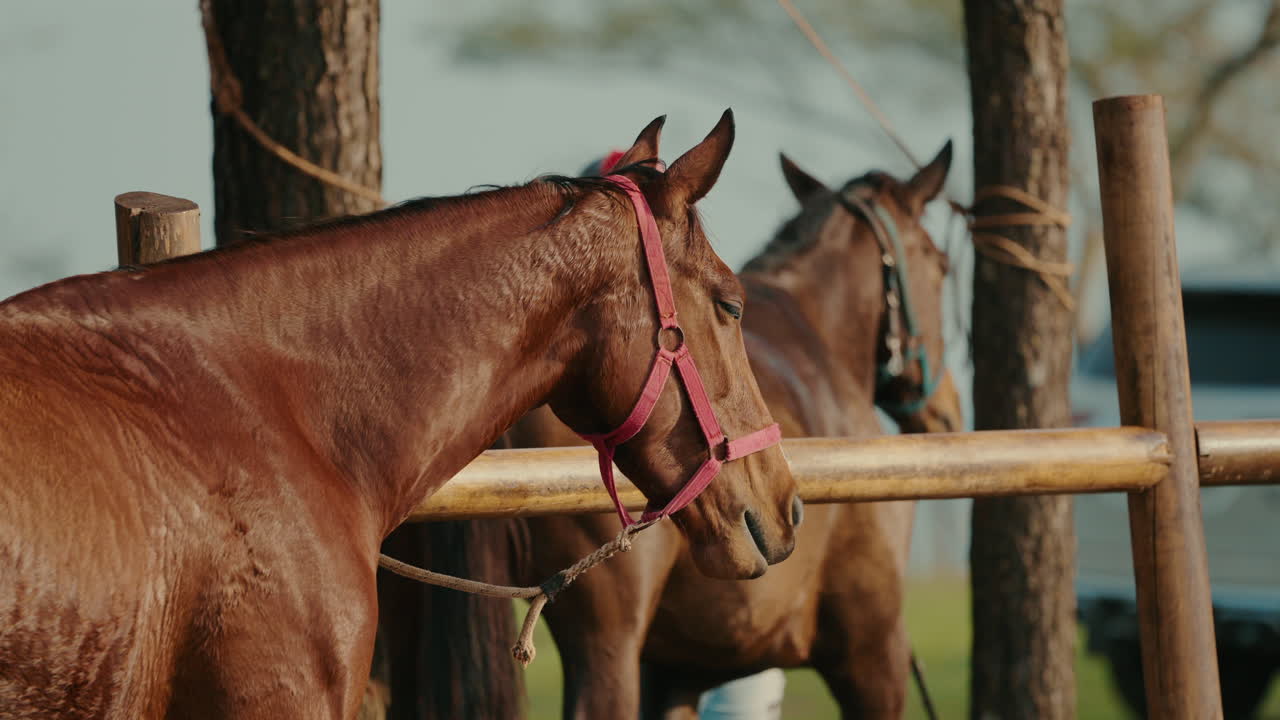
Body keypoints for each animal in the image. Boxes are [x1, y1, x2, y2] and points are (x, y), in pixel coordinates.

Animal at [379, 137, 963, 719]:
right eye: (941, 264)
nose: (950, 410)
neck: (820, 339)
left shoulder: (675, 672)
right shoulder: (873, 648)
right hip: (607, 646)